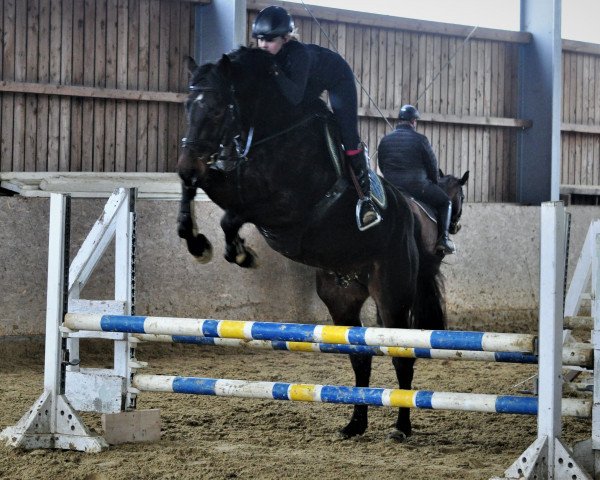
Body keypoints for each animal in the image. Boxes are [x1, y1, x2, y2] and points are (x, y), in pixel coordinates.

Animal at [176, 47, 466, 440]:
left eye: (219, 109)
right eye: (188, 106)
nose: (186, 162)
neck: (271, 132)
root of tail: (410, 215)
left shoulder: (288, 209)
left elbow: (232, 215)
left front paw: (237, 251)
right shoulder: (232, 183)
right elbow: (205, 187)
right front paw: (195, 239)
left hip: (392, 293)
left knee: (401, 355)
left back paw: (401, 427)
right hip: (341, 298)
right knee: (360, 355)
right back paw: (356, 423)